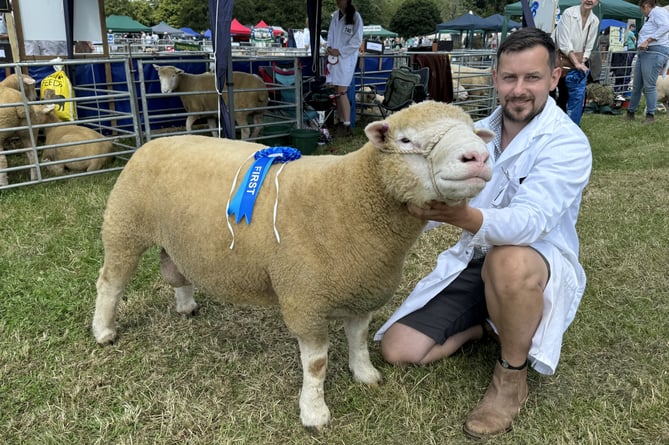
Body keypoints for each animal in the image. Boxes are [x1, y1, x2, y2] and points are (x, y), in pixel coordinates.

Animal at [91, 101, 494, 430]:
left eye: (475, 132)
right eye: (407, 140)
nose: (477, 156)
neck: (350, 199)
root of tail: (154, 142)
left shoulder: (363, 289)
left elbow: (359, 339)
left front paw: (365, 374)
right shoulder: (305, 300)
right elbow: (316, 364)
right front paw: (314, 413)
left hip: (177, 237)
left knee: (175, 270)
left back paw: (186, 305)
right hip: (124, 226)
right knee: (110, 282)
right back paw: (103, 330)